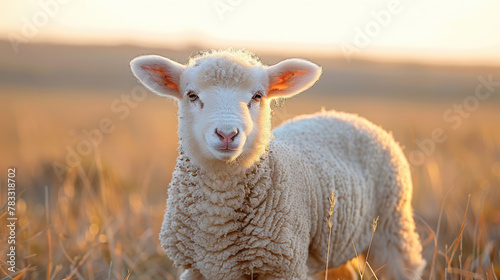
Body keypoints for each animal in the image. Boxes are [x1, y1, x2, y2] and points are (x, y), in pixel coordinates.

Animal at [130, 49, 426, 278]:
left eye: (257, 96)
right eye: (191, 95)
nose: (227, 134)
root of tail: (346, 115)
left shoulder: (284, 265)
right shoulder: (197, 268)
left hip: (392, 226)